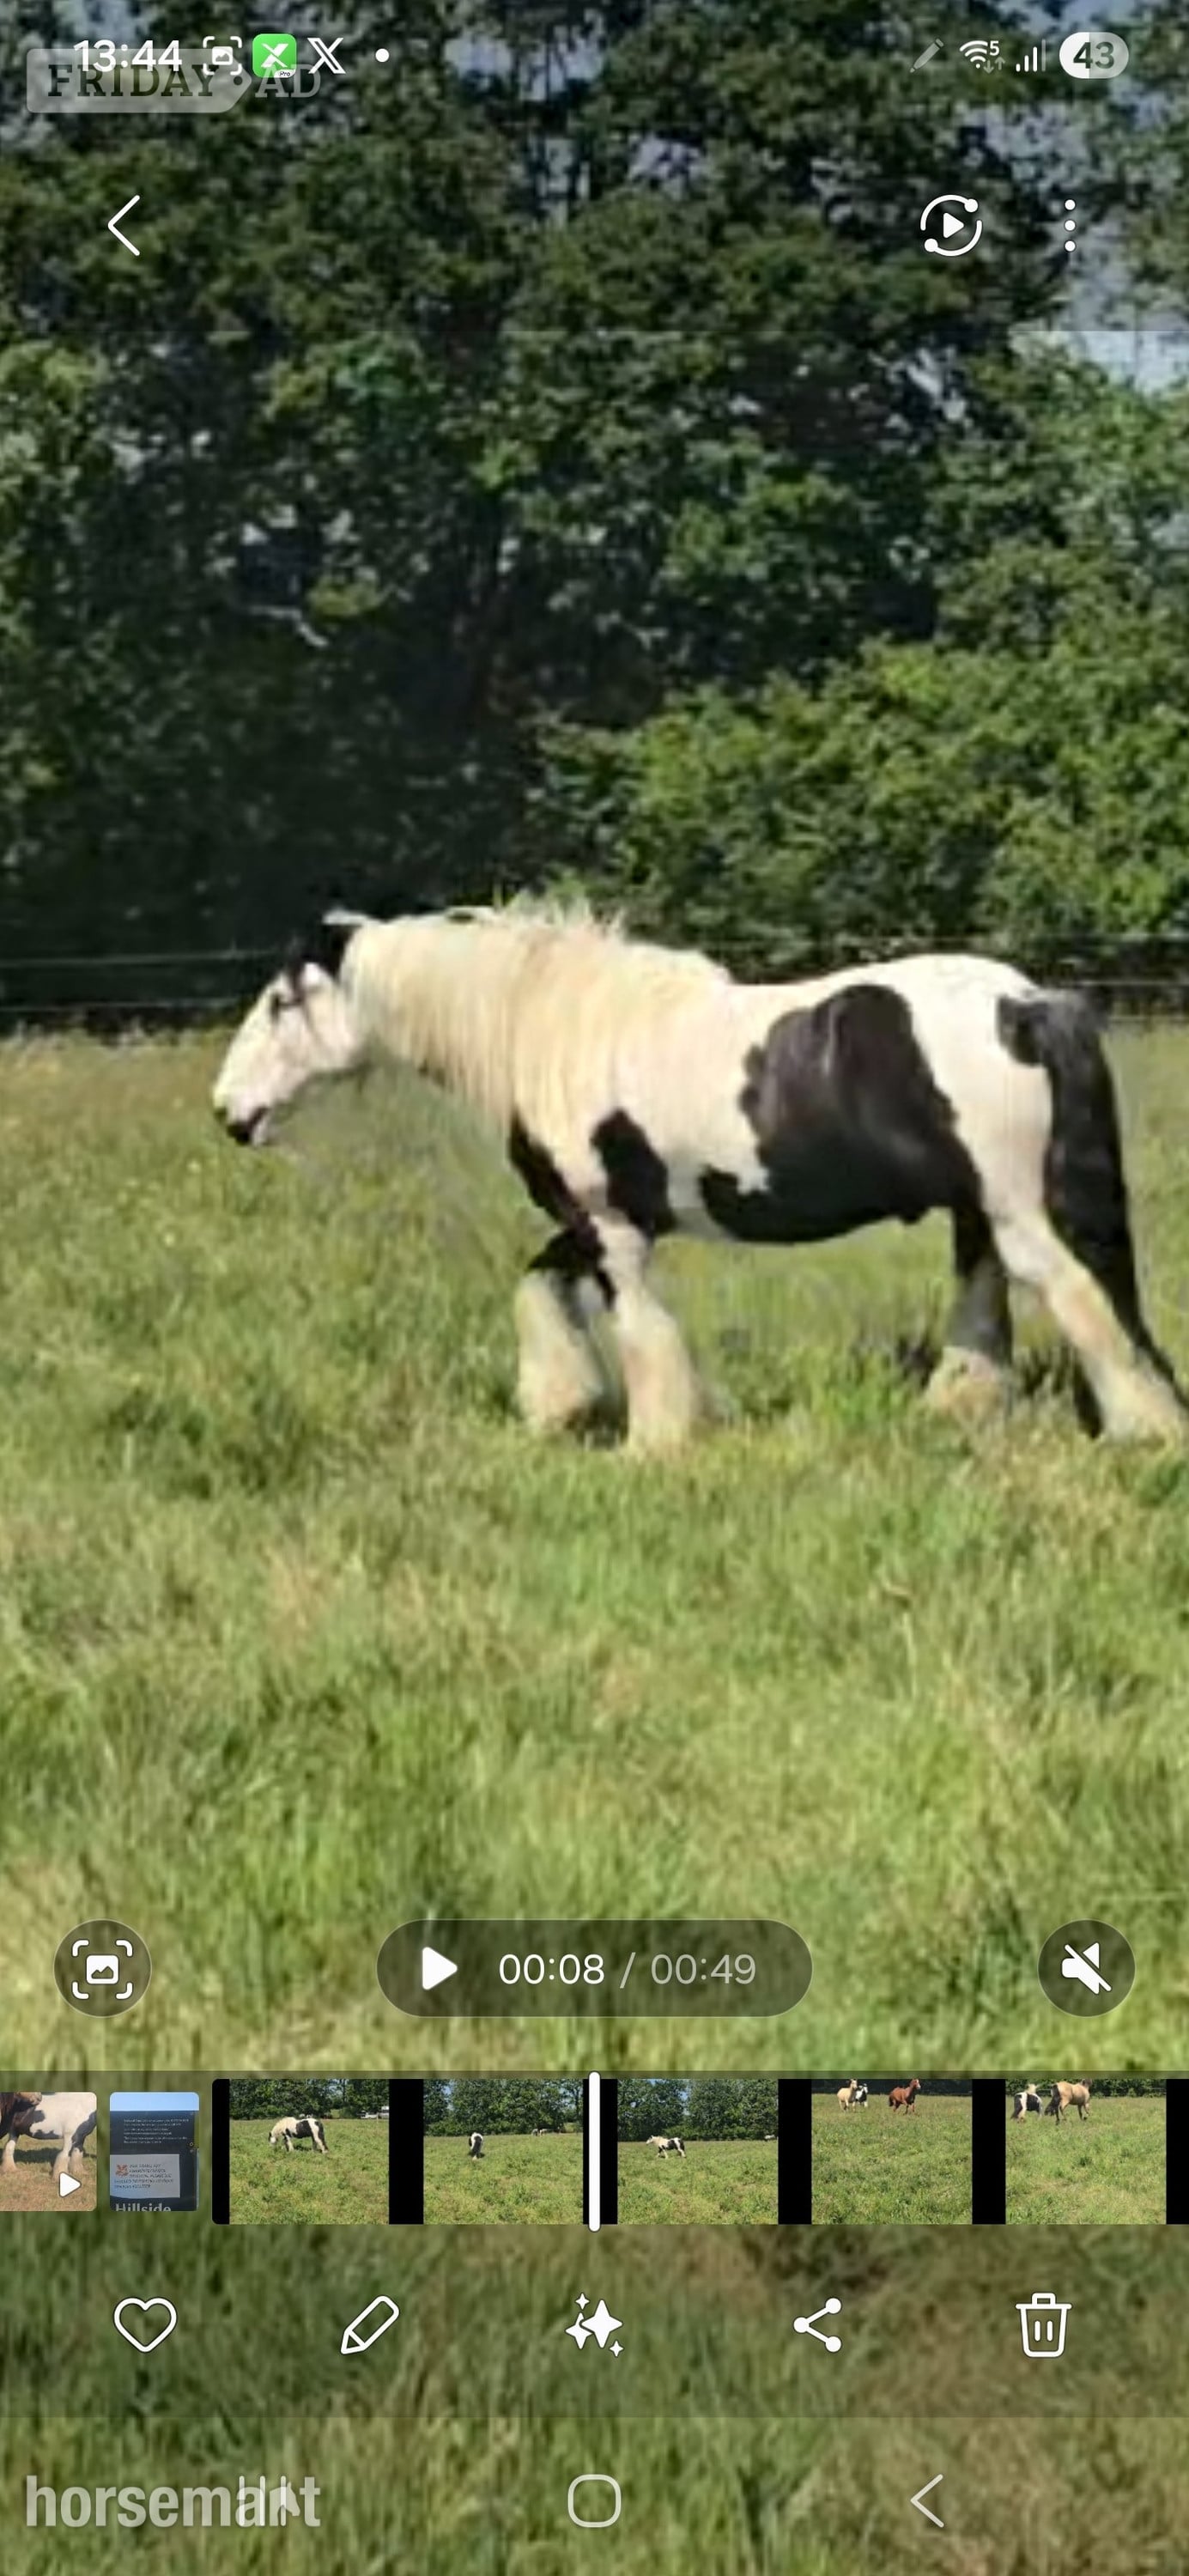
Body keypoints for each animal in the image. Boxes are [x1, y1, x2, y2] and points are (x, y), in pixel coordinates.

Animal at [211, 904, 1188, 1458]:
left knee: (1080, 1301)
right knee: (984, 1306)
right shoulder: (594, 1224)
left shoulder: (609, 1227)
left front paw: (651, 1443)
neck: (550, 1027)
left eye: (280, 1002)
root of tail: (1023, 1003)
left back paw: (1142, 1433)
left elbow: (640, 1334)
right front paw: (559, 1406)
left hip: (1017, 1210)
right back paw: (955, 1413)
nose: (229, 1113)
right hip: (977, 1208)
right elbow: (537, 1290)